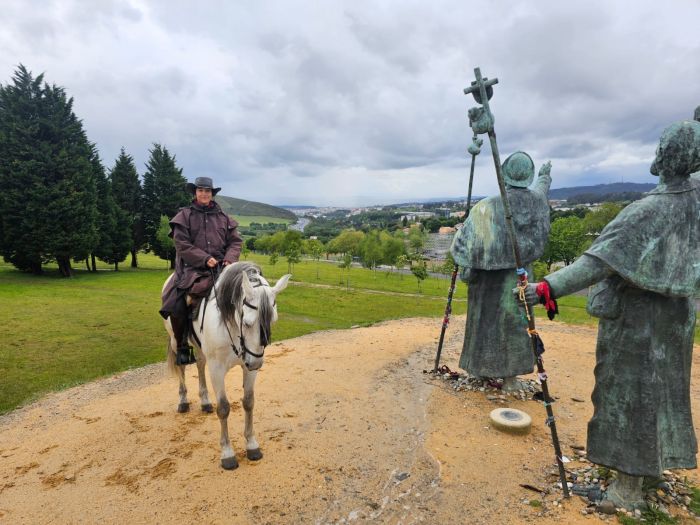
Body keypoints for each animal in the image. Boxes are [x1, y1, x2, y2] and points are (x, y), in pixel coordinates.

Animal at [164, 262, 290, 470]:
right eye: (247, 322)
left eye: (272, 321)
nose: (256, 363)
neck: (230, 324)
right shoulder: (217, 369)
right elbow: (223, 408)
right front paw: (227, 453)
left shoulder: (248, 368)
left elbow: (249, 402)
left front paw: (252, 444)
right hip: (176, 341)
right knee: (181, 366)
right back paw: (183, 400)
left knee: (200, 364)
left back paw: (205, 401)